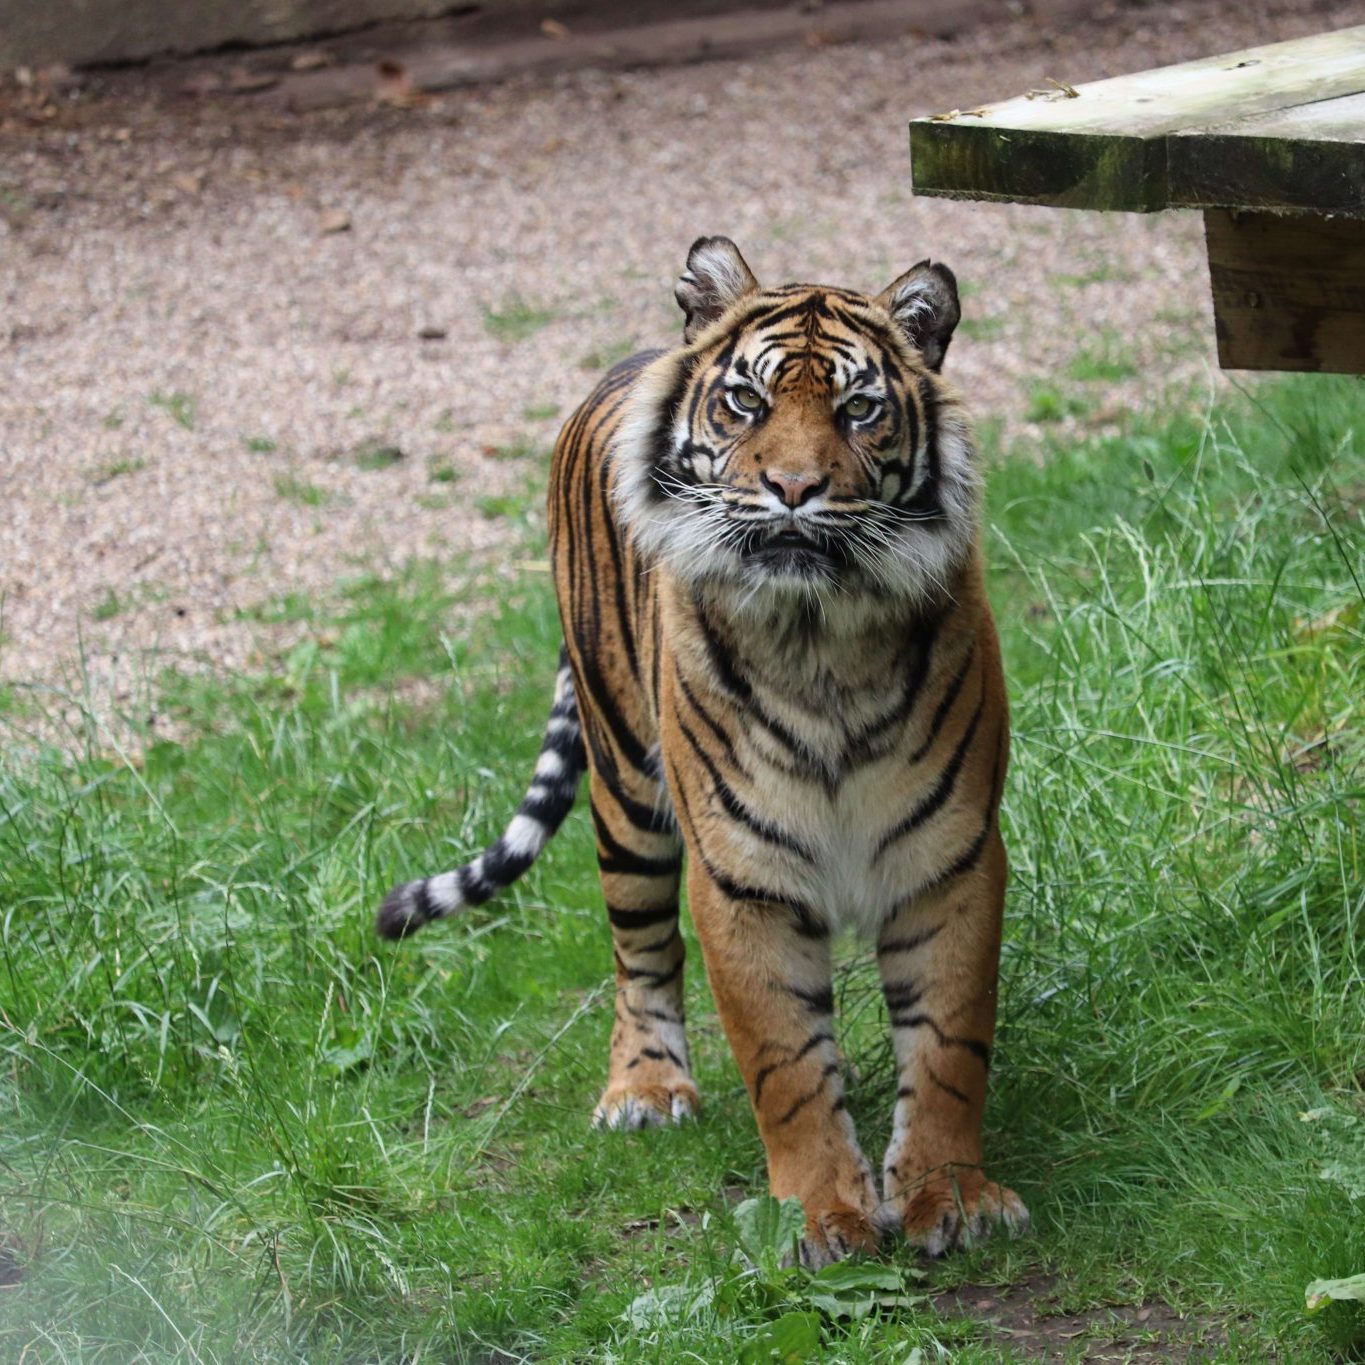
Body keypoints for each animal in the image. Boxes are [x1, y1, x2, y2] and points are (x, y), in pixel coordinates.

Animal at [374, 237, 1026, 1266]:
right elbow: (784, 1065)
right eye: (746, 402)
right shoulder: (742, 874)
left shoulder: (950, 858)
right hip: (623, 786)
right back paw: (643, 1090)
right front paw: (819, 1216)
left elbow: (948, 1046)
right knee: (638, 944)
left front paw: (948, 1193)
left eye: (859, 408)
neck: (820, 640)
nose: (793, 489)